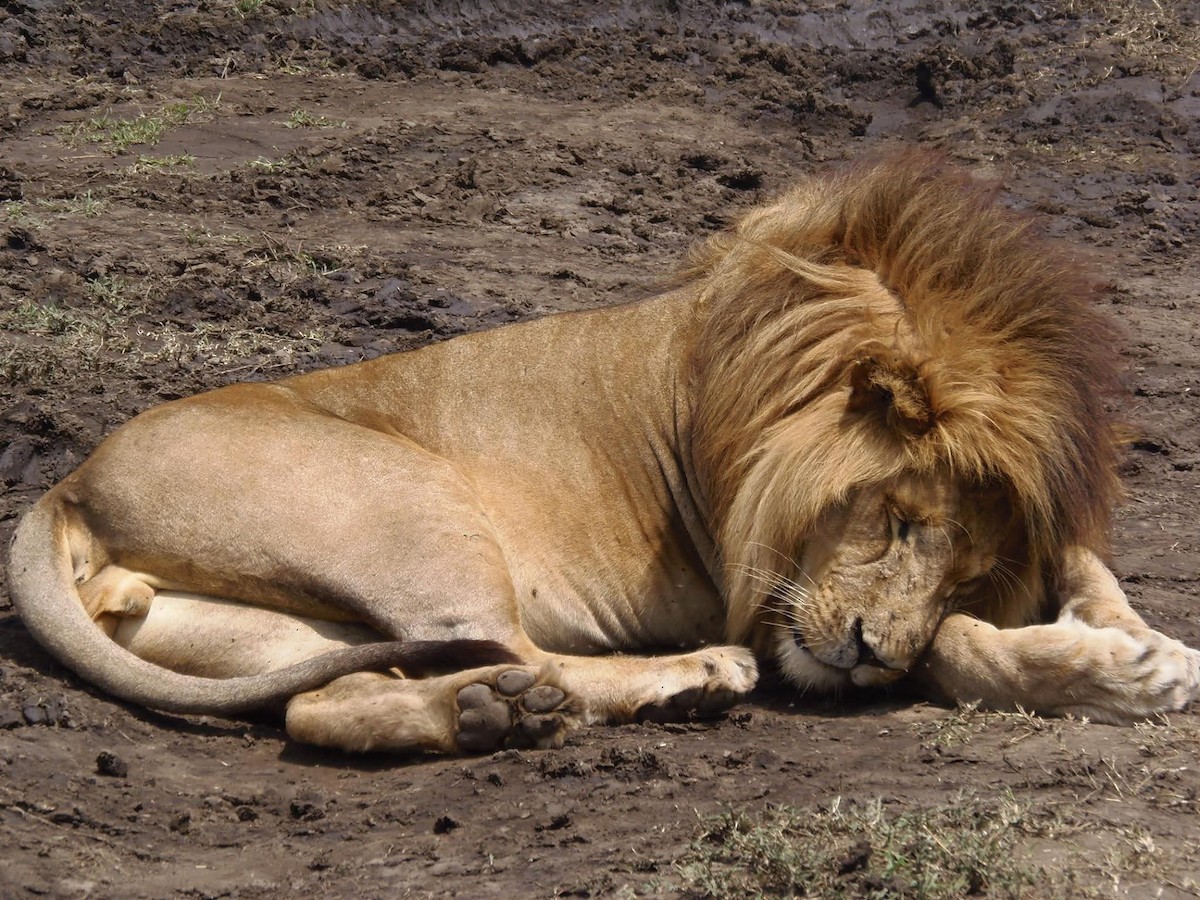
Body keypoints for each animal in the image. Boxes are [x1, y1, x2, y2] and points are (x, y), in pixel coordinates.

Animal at [8, 154, 1200, 755]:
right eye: (900, 520)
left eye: (967, 561)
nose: (869, 653)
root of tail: (69, 482)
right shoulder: (764, 593)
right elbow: (949, 647)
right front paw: (1114, 671)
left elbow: (1061, 576)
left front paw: (1144, 646)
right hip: (418, 506)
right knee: (512, 645)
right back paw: (682, 681)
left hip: (261, 630)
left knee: (323, 701)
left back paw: (482, 716)